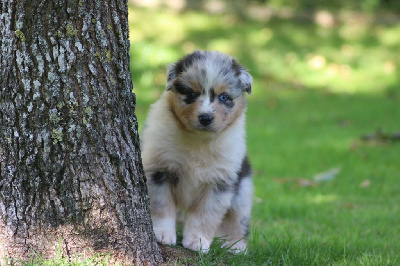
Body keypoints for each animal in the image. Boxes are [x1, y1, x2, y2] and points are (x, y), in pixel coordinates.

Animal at [141, 51, 253, 252]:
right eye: (191, 94)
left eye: (224, 97)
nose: (206, 117)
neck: (199, 140)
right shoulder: (159, 169)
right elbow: (161, 206)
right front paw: (163, 234)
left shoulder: (220, 182)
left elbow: (206, 215)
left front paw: (197, 242)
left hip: (243, 192)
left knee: (238, 220)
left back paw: (236, 247)